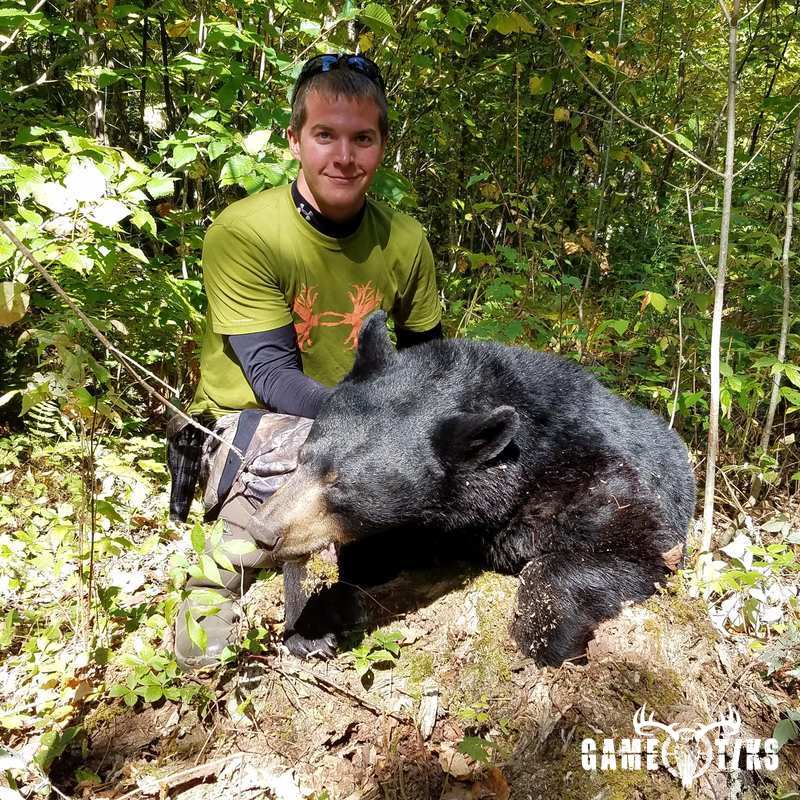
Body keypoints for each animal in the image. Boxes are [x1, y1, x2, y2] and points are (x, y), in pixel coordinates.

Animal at [249, 311, 696, 666]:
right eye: (304, 457)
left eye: (340, 486)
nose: (263, 531)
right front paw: (311, 623)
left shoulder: (596, 480)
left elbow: (634, 546)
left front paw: (546, 635)